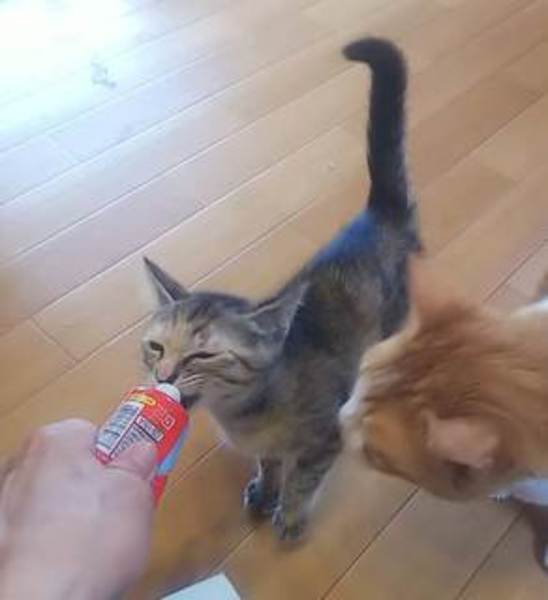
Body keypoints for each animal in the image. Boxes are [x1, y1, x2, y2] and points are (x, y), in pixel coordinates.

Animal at [141, 37, 420, 541]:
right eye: (156, 348)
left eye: (202, 355)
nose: (164, 376)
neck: (244, 415)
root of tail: (376, 216)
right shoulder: (265, 446)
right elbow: (270, 464)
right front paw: (263, 489)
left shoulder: (324, 439)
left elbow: (304, 478)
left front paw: (289, 515)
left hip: (389, 320)